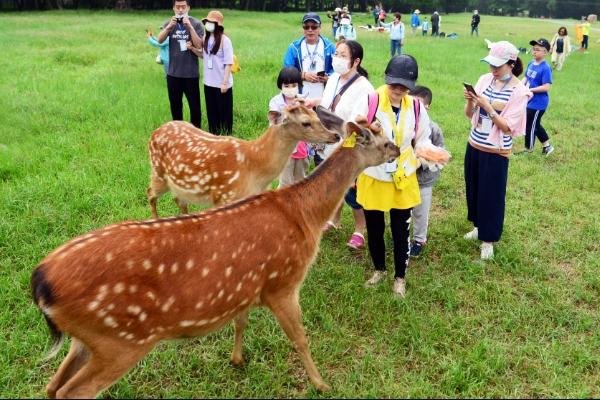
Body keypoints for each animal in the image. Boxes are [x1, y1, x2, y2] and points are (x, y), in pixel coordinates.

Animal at [31, 117, 398, 398]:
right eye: (381, 139)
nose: (397, 150)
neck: (304, 215)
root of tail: (40, 282)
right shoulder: (283, 282)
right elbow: (301, 339)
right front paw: (321, 384)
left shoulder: (248, 285)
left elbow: (241, 320)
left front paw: (237, 359)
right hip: (120, 340)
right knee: (71, 391)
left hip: (88, 339)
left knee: (52, 385)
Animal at [146, 103, 342, 217]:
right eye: (305, 123)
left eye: (317, 117)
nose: (335, 135)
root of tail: (155, 132)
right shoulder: (224, 196)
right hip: (158, 172)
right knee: (150, 193)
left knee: (178, 199)